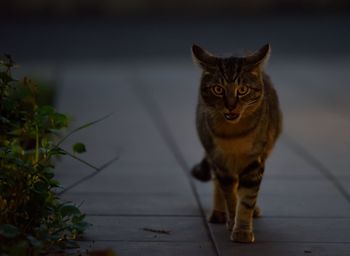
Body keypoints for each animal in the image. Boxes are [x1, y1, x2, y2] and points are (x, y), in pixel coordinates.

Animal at [190, 43, 284, 242]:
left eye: (242, 90)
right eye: (218, 89)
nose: (231, 105)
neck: (234, 136)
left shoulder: (255, 162)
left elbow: (247, 198)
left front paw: (242, 228)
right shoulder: (220, 162)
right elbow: (230, 196)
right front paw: (232, 220)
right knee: (219, 183)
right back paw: (219, 212)